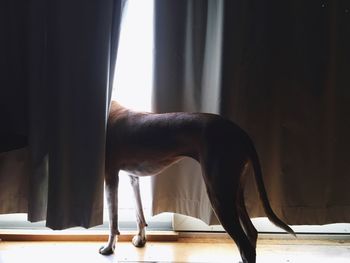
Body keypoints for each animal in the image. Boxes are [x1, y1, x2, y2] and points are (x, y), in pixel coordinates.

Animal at [100, 100, 296, 262]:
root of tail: (240, 133)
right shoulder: (133, 178)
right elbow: (139, 214)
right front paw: (141, 239)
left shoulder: (110, 176)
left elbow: (112, 221)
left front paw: (109, 248)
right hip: (234, 192)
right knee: (251, 233)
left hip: (218, 195)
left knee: (245, 246)